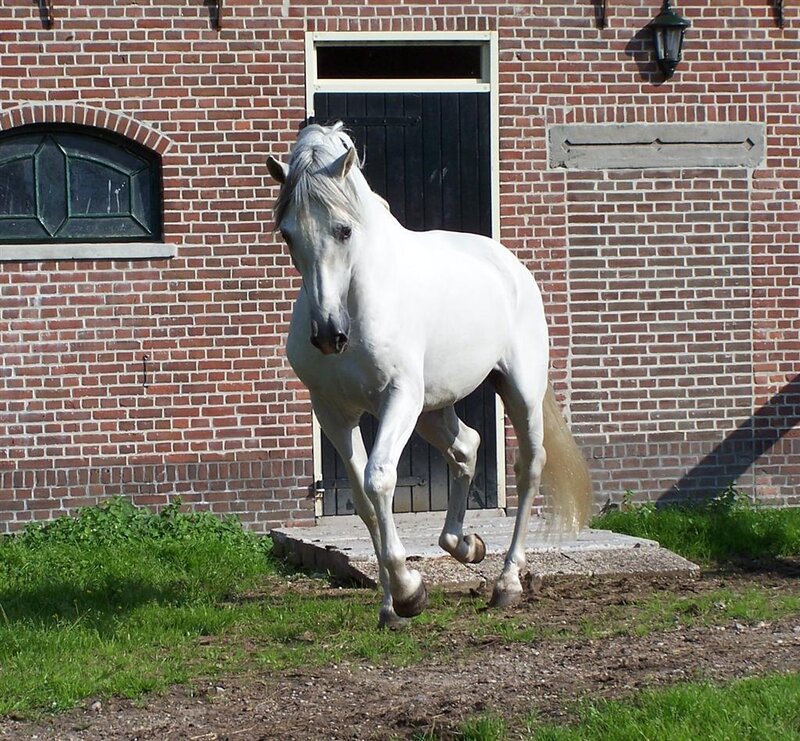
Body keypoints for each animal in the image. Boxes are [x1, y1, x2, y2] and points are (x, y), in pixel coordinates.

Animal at [267, 122, 592, 628]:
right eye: (287, 235)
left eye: (344, 229)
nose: (328, 335)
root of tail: (510, 265)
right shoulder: (334, 412)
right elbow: (364, 501)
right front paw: (391, 607)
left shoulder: (398, 397)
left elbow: (379, 479)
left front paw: (408, 592)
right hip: (432, 409)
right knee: (467, 447)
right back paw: (466, 545)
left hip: (516, 391)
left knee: (528, 468)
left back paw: (507, 583)